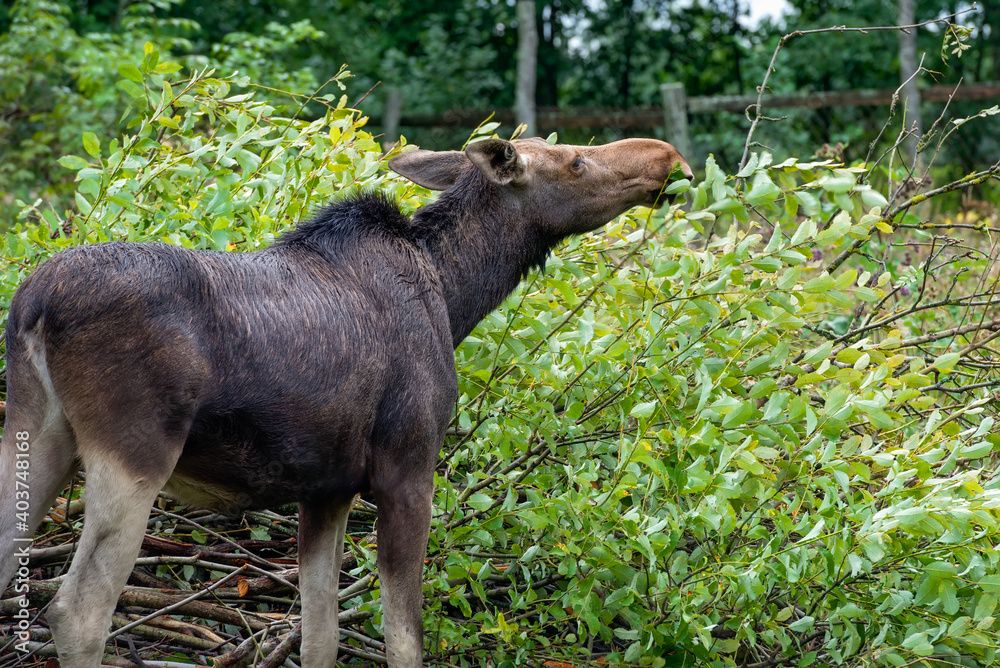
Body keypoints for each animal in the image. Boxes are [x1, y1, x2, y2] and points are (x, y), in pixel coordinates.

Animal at [0, 136, 692, 667]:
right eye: (575, 162)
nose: (668, 157)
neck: (456, 294)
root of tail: (35, 304)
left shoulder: (325, 489)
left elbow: (320, 638)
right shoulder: (408, 469)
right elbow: (403, 638)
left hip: (36, 433)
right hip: (135, 453)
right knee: (77, 612)